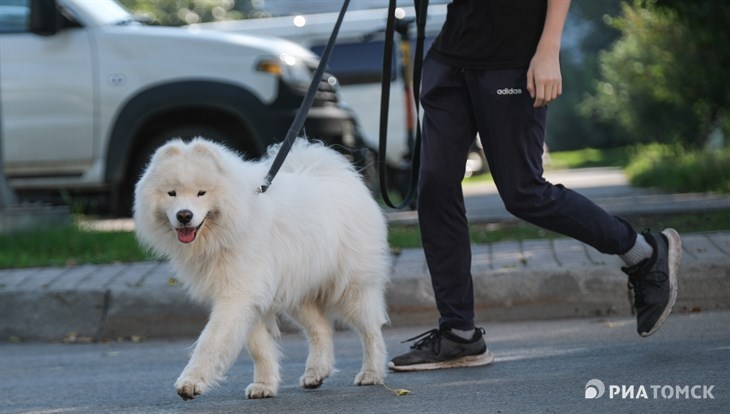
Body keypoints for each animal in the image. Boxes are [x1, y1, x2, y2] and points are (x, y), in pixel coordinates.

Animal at [134, 139, 390, 402]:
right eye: (171, 193)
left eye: (201, 193)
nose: (184, 215)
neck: (230, 229)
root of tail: (339, 176)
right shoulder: (250, 299)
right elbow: (258, 348)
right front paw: (264, 385)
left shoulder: (237, 295)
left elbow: (210, 341)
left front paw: (190, 382)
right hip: (296, 292)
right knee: (322, 329)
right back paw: (316, 373)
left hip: (350, 290)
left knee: (371, 330)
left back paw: (371, 372)